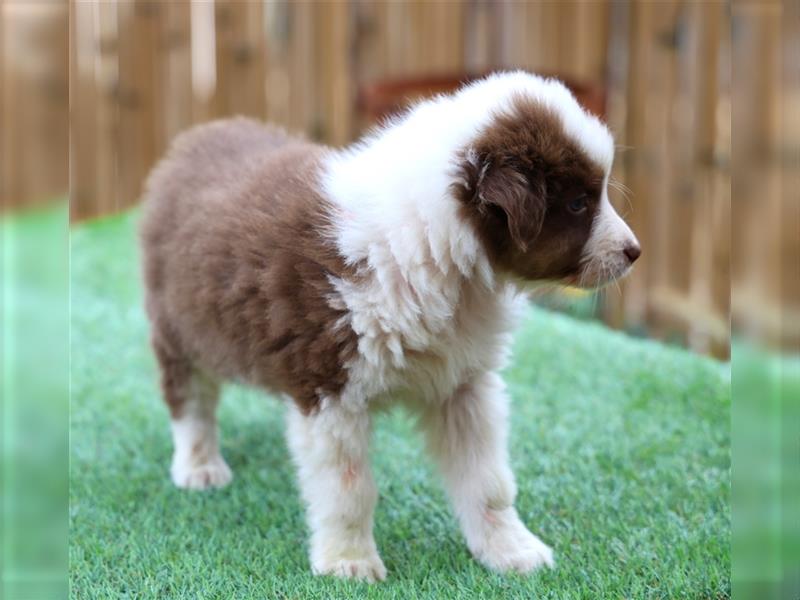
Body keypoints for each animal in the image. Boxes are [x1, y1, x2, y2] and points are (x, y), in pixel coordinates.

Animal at [141, 70, 640, 580]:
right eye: (578, 203)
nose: (633, 251)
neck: (438, 254)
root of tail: (196, 138)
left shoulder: (464, 383)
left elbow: (488, 479)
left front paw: (510, 549)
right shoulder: (330, 386)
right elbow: (348, 489)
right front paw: (349, 562)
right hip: (178, 326)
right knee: (190, 400)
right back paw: (199, 466)